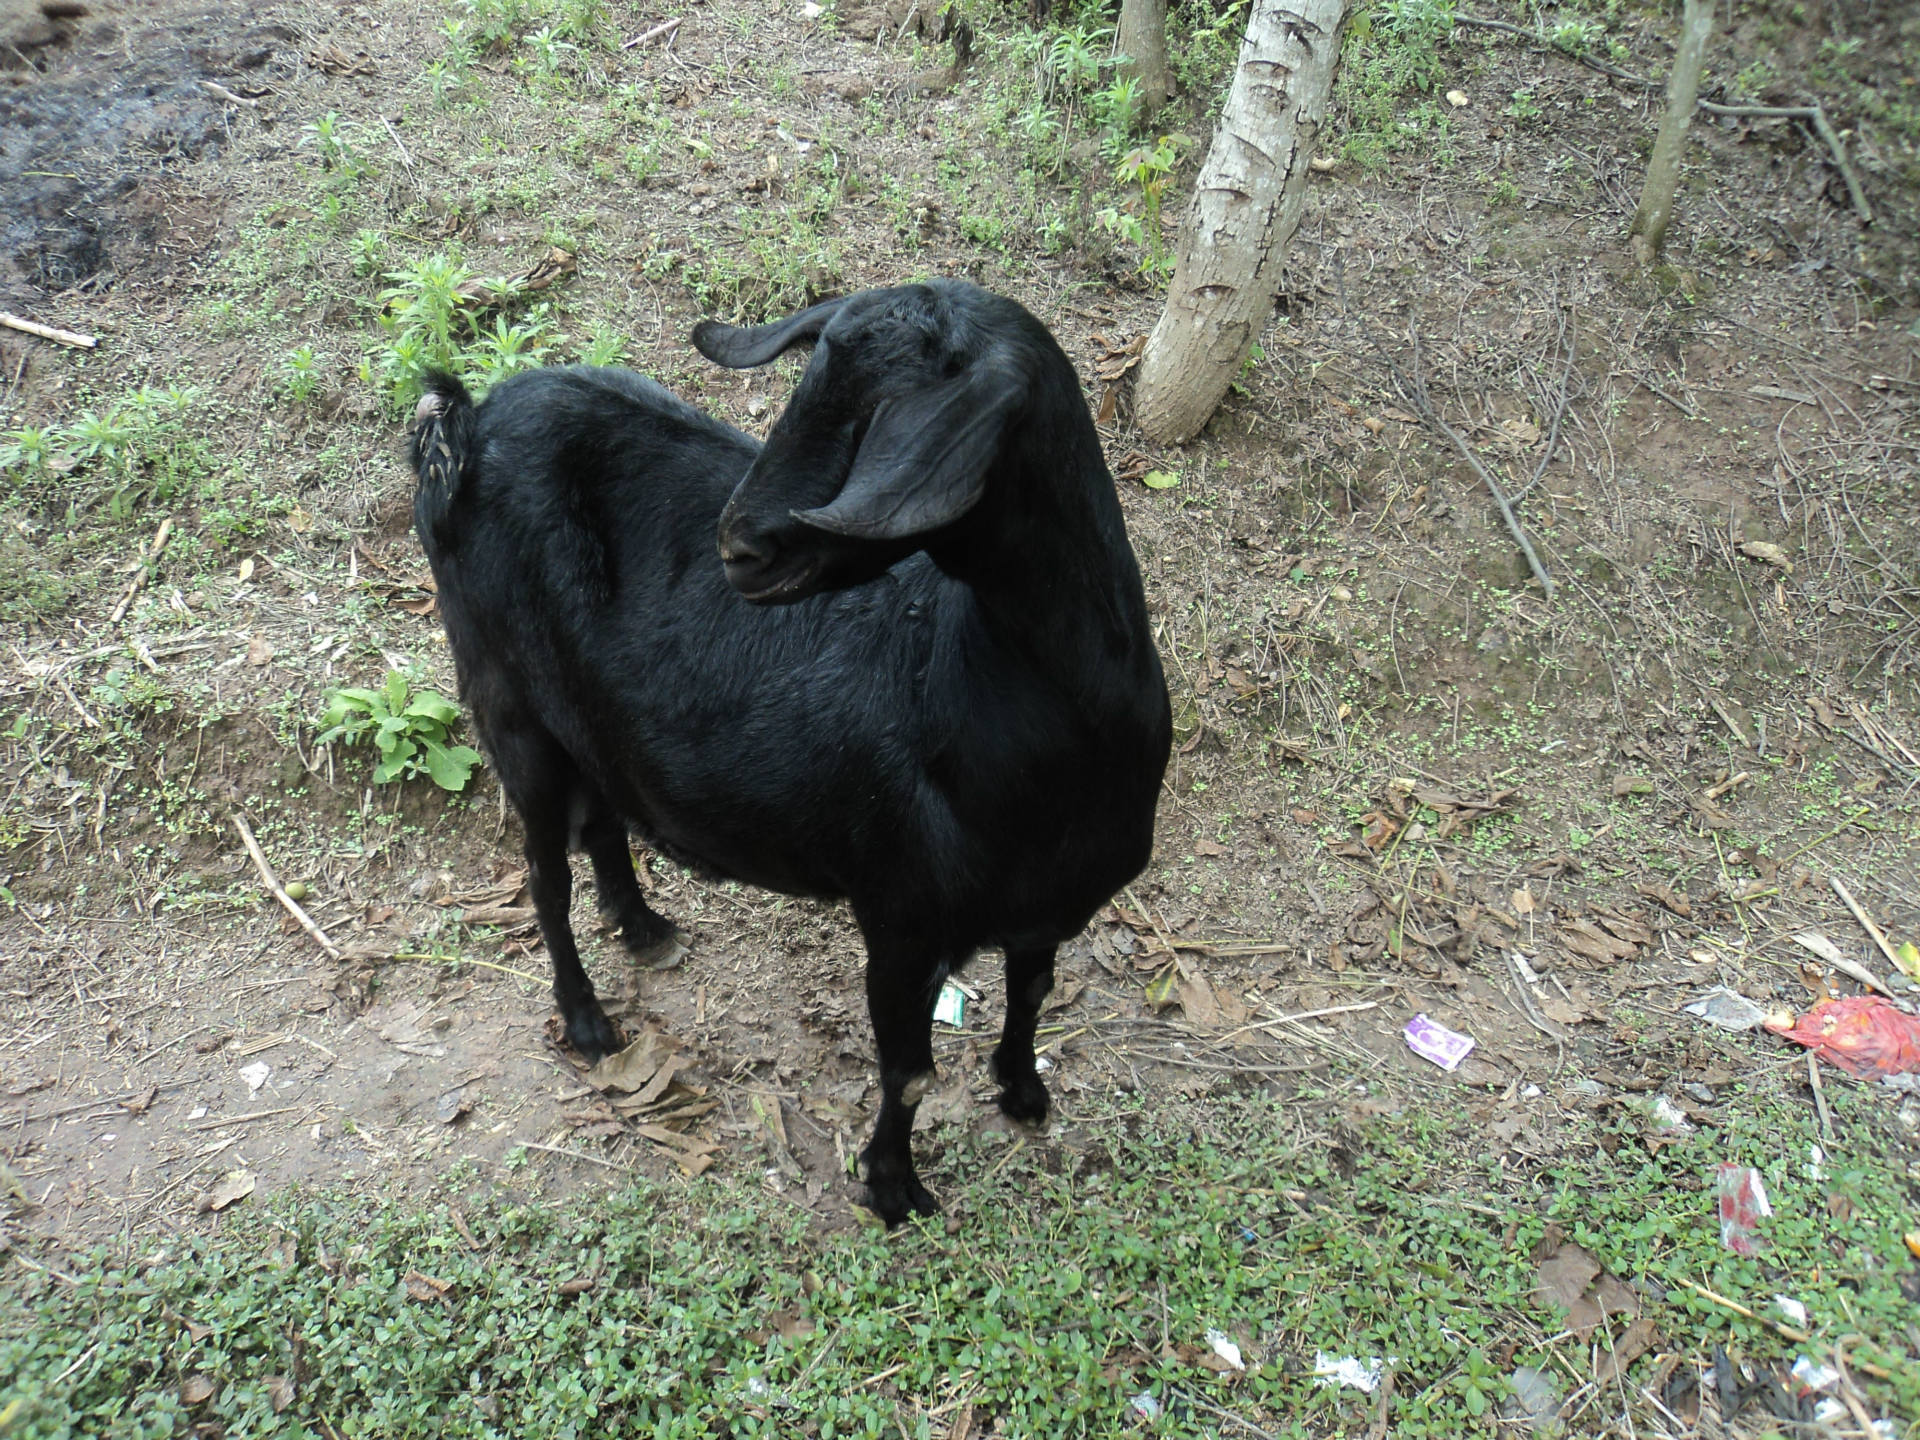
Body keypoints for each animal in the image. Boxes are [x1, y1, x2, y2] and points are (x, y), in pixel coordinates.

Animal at [405, 284, 1167, 1228]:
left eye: (879, 421)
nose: (738, 544)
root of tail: (469, 420)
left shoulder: (1051, 907)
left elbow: (1031, 997)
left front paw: (1024, 1094)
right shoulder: (903, 912)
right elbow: (909, 1073)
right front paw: (893, 1189)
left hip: (584, 717)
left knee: (606, 815)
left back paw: (644, 926)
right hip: (509, 703)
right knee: (545, 877)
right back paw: (587, 1023)